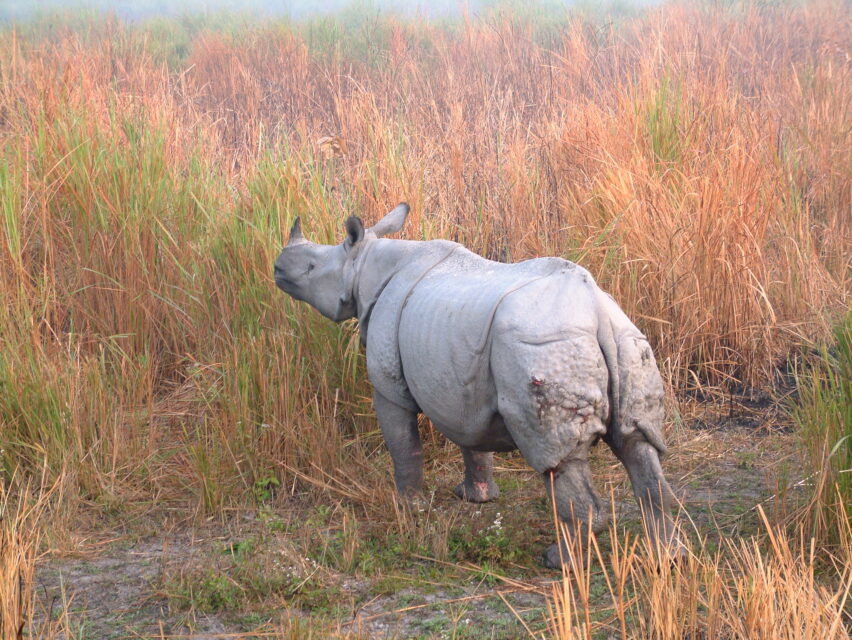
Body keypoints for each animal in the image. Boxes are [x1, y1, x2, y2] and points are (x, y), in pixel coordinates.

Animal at [274, 203, 683, 567]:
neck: (364, 263)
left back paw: (559, 562)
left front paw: (408, 506)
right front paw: (476, 498)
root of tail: (597, 313)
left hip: (542, 346)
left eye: (311, 267)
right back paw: (666, 558)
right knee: (638, 443)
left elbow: (402, 443)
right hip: (626, 342)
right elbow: (471, 438)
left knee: (556, 457)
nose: (277, 267)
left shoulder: (388, 380)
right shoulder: (462, 377)